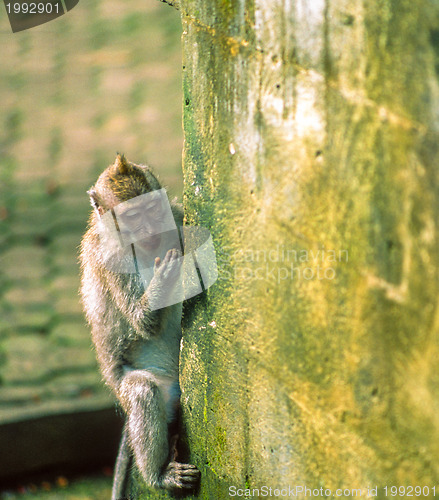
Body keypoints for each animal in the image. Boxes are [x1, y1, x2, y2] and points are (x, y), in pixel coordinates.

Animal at [80, 154, 200, 498]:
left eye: (154, 208)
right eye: (133, 216)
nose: (152, 228)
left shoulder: (176, 215)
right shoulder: (112, 257)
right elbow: (141, 321)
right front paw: (164, 278)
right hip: (135, 385)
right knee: (141, 391)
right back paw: (157, 474)